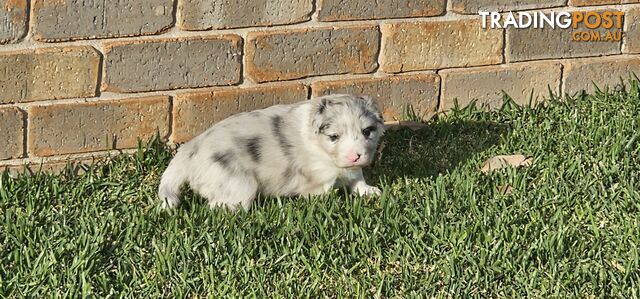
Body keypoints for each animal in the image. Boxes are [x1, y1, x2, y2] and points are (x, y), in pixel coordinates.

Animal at [159, 94, 384, 211]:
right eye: (334, 136)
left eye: (367, 131)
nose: (355, 156)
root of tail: (190, 150)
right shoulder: (317, 177)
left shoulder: (352, 169)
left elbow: (357, 179)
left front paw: (369, 191)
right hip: (239, 185)